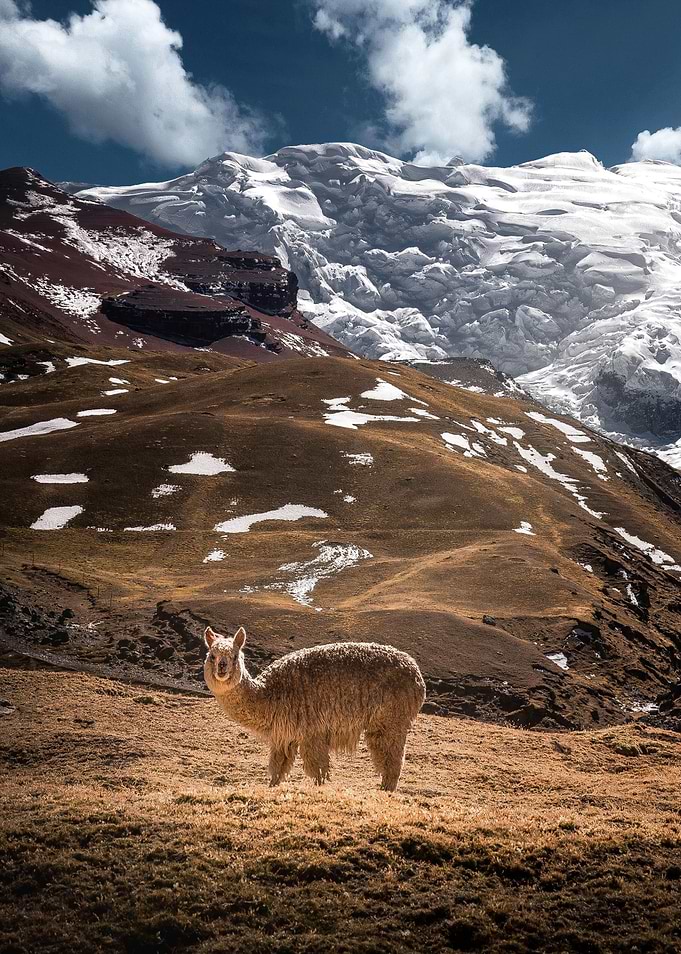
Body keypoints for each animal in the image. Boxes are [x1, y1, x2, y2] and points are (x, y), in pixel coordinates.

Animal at [203, 625, 426, 791]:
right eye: (211, 656)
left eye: (235, 656)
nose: (222, 667)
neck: (268, 694)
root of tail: (416, 674)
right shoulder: (284, 735)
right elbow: (278, 768)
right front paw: (272, 788)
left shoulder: (312, 731)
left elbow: (317, 769)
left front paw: (319, 789)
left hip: (391, 719)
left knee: (392, 759)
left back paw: (386, 790)